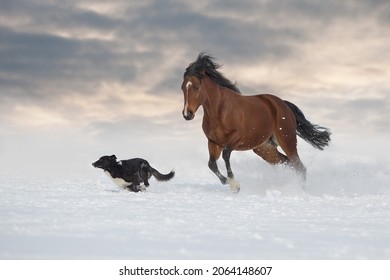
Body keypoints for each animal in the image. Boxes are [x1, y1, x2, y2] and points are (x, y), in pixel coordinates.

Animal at [181, 52, 330, 192]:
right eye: (183, 87)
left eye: (197, 87)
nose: (187, 114)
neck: (219, 111)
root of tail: (284, 105)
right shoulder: (213, 142)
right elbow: (211, 164)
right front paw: (229, 183)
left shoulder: (236, 138)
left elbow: (226, 155)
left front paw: (235, 185)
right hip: (264, 149)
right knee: (288, 163)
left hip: (287, 141)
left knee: (299, 167)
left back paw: (300, 190)